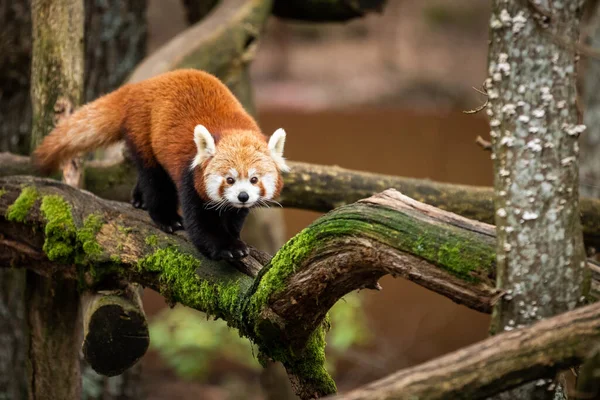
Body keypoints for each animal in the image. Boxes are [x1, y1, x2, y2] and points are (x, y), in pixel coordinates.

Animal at [32, 70, 290, 260]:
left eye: (254, 179)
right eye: (229, 179)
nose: (243, 196)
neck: (230, 129)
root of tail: (140, 87)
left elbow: (234, 215)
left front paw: (234, 235)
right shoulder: (189, 174)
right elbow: (200, 222)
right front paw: (226, 246)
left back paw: (139, 199)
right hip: (144, 133)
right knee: (155, 179)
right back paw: (164, 217)